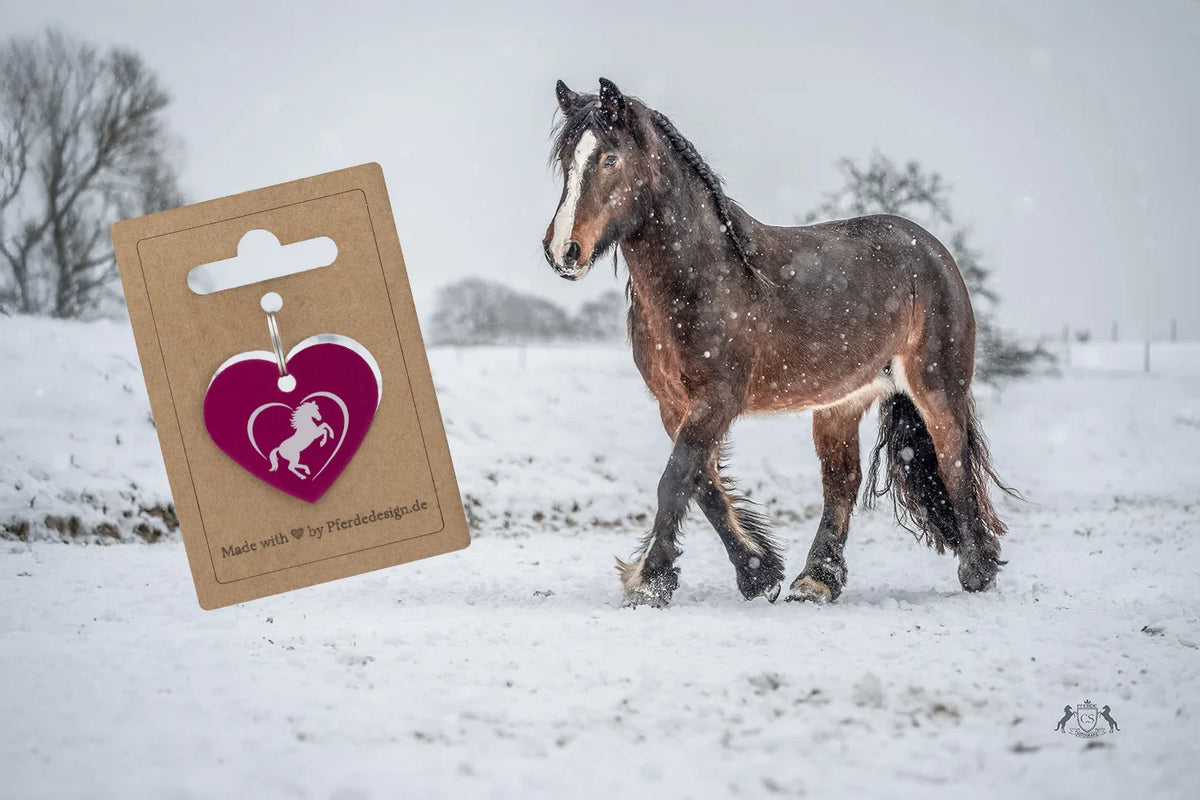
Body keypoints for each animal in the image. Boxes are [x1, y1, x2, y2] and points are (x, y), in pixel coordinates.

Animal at [542, 78, 1013, 607]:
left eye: (610, 159)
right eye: (567, 160)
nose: (563, 251)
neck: (706, 276)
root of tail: (934, 251)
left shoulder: (717, 398)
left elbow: (676, 480)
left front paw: (649, 582)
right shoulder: (674, 404)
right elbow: (704, 486)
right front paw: (758, 572)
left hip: (937, 387)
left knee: (953, 463)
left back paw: (977, 571)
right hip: (840, 404)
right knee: (842, 482)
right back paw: (816, 580)